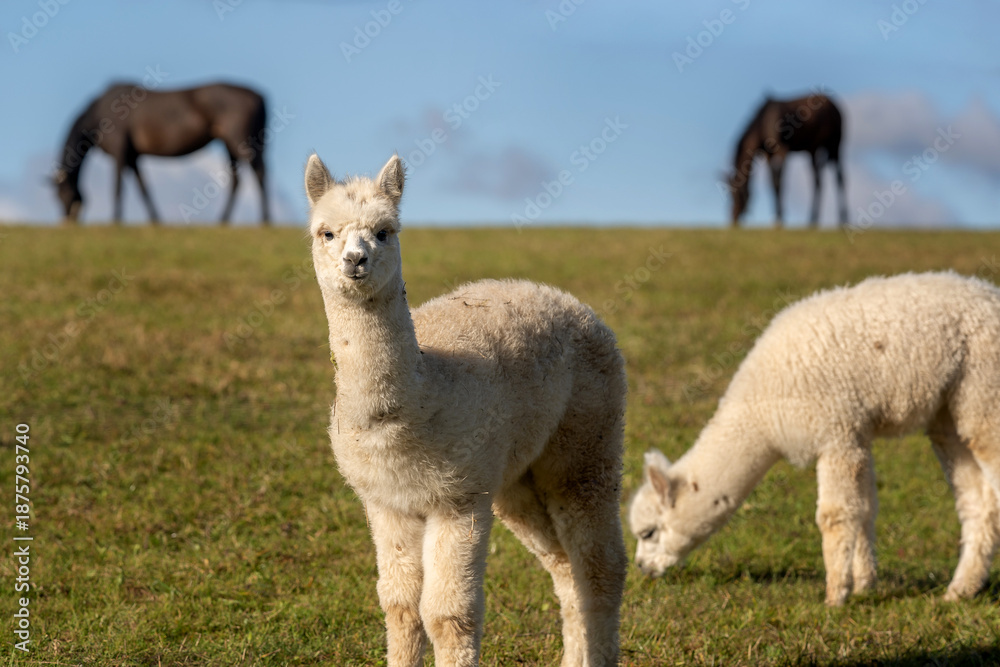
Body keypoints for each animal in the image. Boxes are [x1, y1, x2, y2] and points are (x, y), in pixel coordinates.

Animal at [53, 82, 270, 225]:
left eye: (62, 193)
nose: (67, 222)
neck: (96, 117)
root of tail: (260, 95)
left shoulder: (119, 152)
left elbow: (117, 187)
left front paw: (115, 220)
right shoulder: (133, 157)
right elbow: (143, 188)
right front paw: (155, 220)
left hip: (241, 141)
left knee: (259, 173)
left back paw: (265, 220)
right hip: (229, 144)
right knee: (237, 179)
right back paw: (223, 221)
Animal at [725, 94, 847, 228]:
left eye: (736, 194)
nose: (733, 218)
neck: (762, 125)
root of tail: (835, 106)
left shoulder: (782, 150)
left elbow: (780, 182)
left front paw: (780, 219)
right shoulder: (768, 155)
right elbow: (772, 183)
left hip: (835, 145)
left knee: (839, 177)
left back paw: (843, 220)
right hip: (814, 149)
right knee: (817, 180)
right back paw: (812, 220)